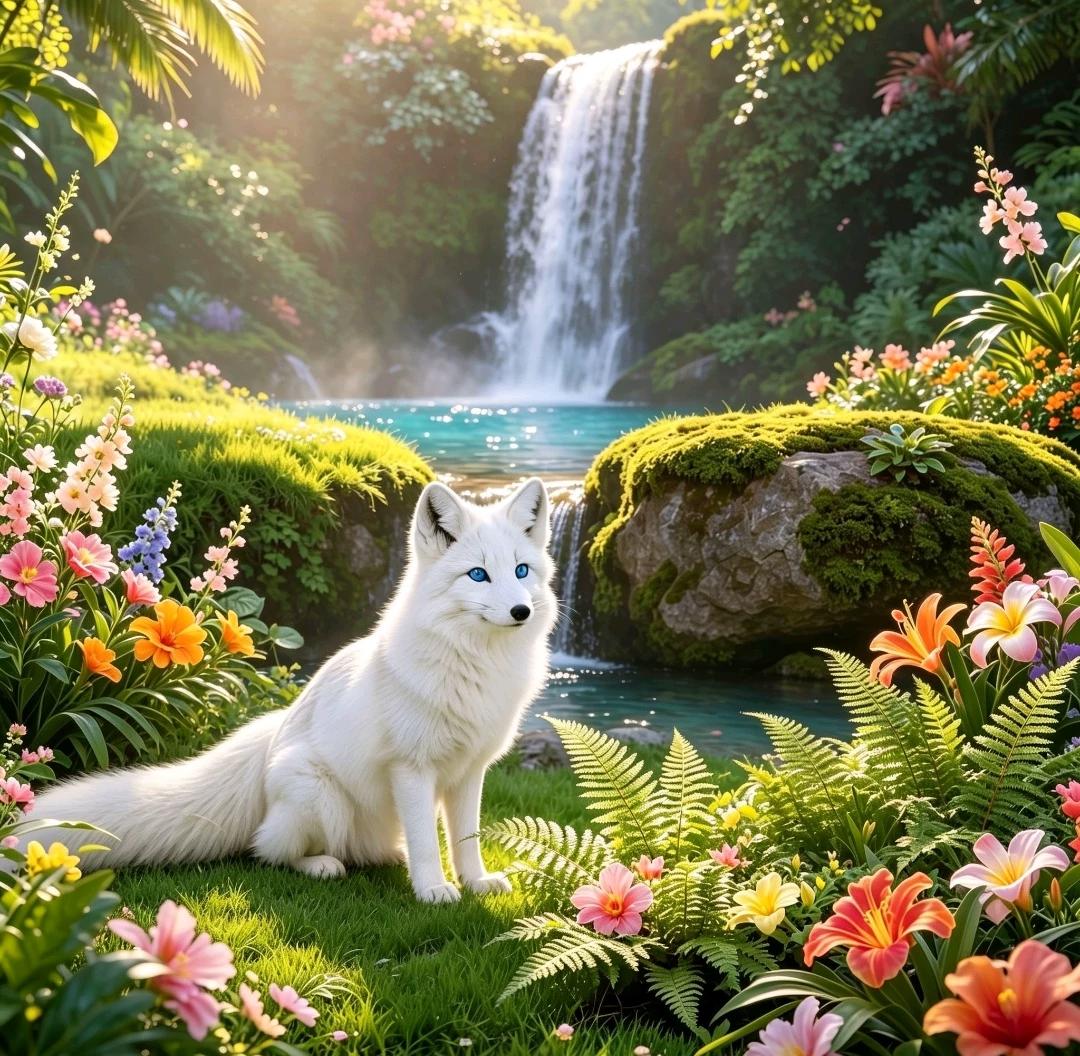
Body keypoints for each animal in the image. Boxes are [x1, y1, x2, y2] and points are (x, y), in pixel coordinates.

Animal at [27, 477, 556, 903]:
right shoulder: (411, 768)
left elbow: (466, 838)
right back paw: (323, 865)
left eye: (521, 571)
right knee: (269, 850)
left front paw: (475, 882)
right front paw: (432, 889)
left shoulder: (469, 772)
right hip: (318, 796)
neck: (476, 664)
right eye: (478, 574)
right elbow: (429, 841)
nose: (521, 611)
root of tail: (271, 737)